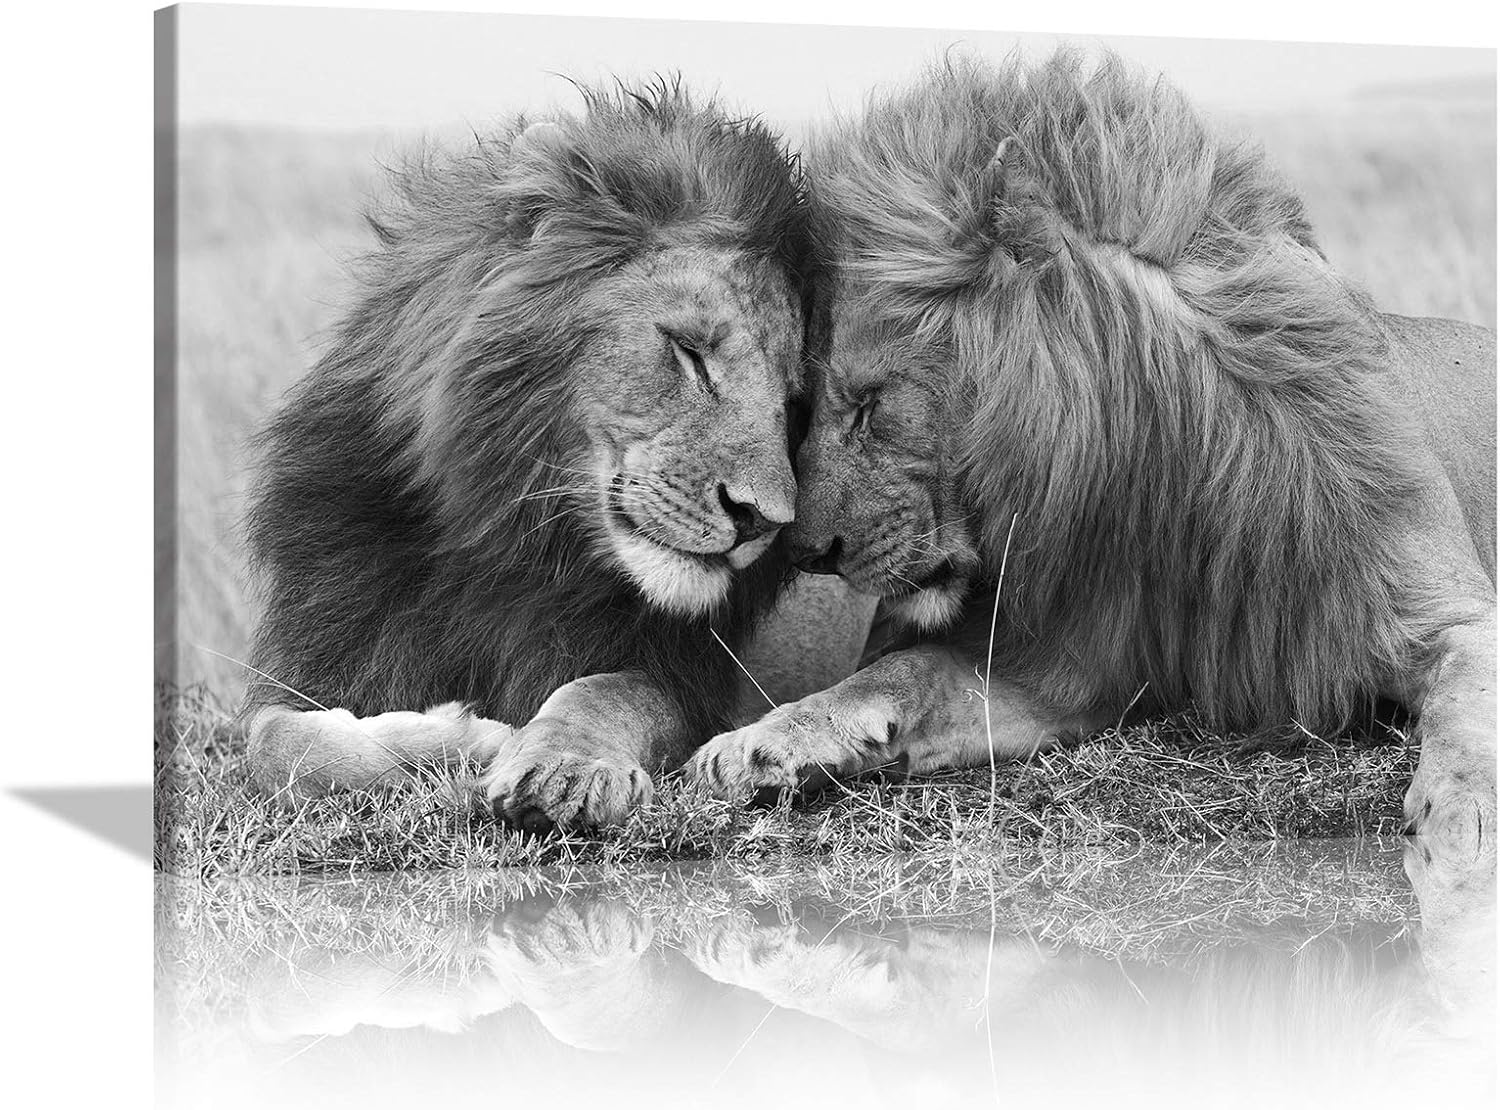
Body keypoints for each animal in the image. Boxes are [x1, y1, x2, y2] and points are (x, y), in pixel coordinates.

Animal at [241, 80, 822, 832]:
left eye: (793, 403)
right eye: (690, 353)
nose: (762, 520)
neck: (510, 541)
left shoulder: (686, 678)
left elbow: (603, 690)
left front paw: (559, 765)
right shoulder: (317, 655)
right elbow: (275, 745)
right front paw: (466, 735)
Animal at [687, 51, 1497, 853]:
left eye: (870, 402)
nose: (803, 553)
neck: (1161, 472)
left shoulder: (1448, 614)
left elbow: (1469, 719)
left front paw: (1464, 827)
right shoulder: (1069, 662)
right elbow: (900, 674)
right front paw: (760, 744)